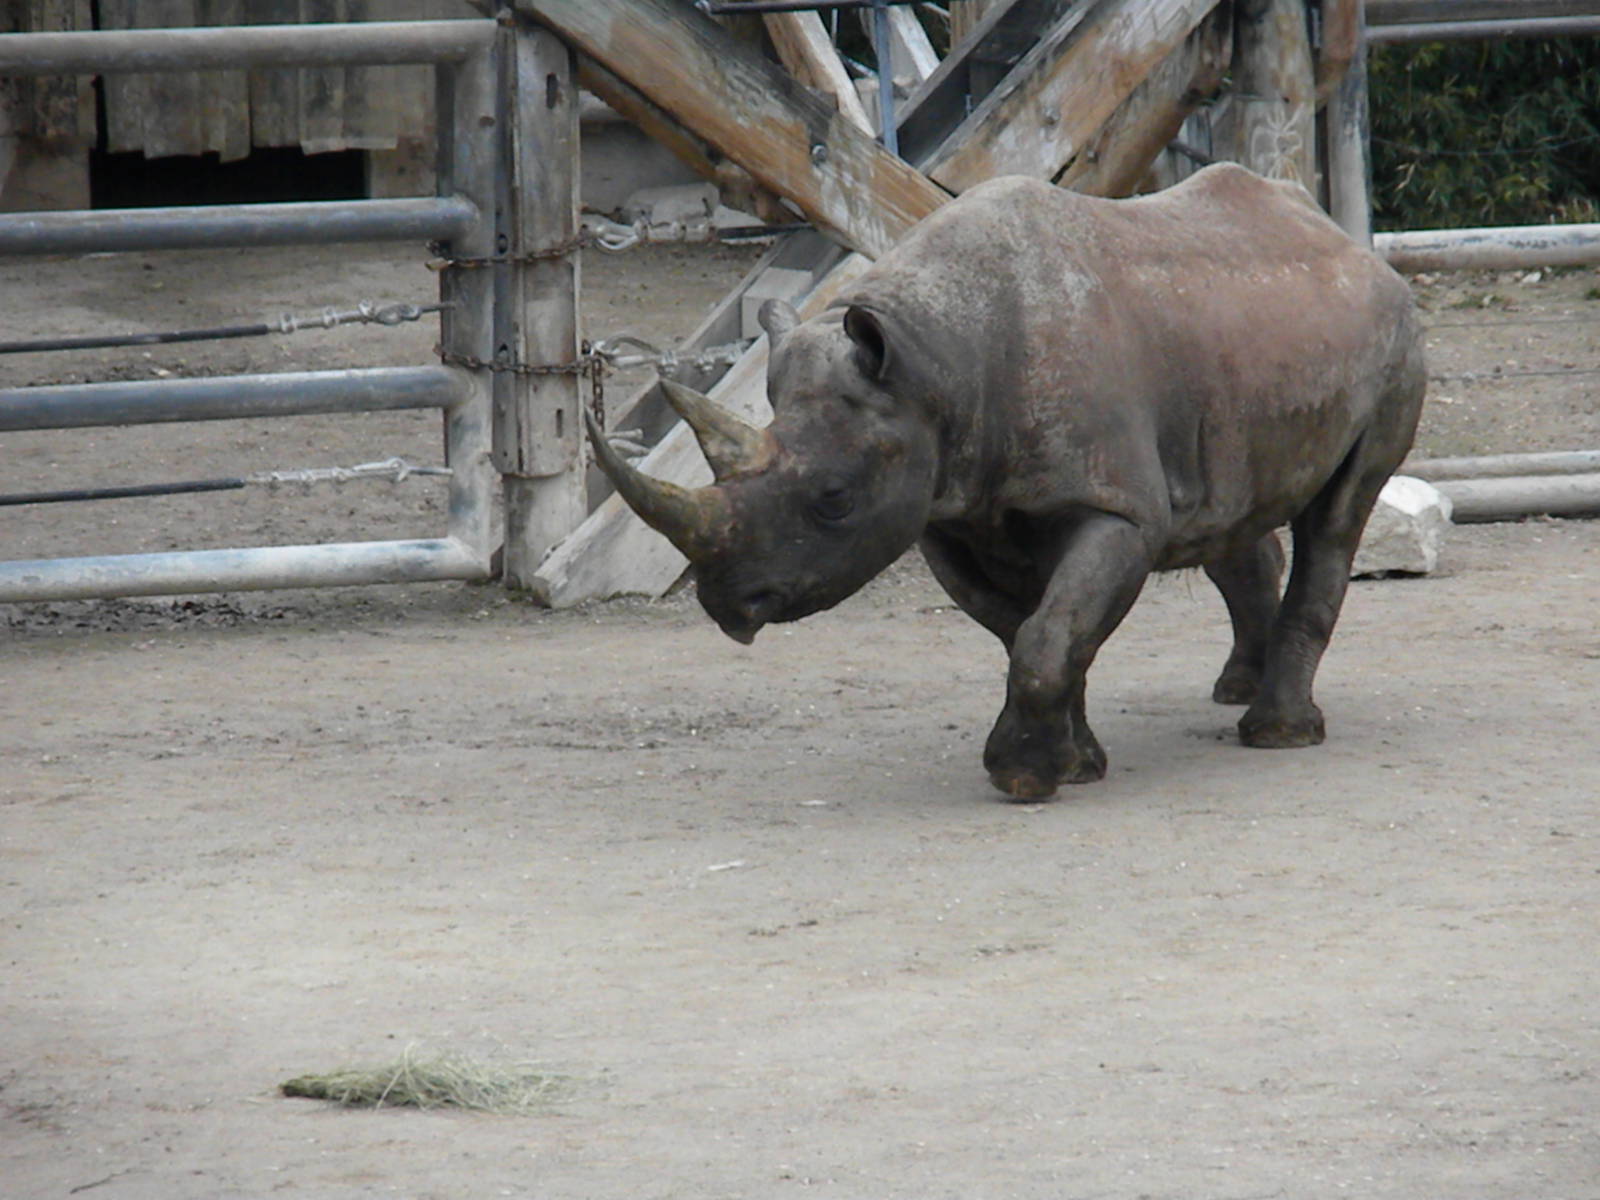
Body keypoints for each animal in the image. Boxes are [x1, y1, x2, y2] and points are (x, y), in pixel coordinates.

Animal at [587, 164, 1426, 799]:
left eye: (834, 501)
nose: (726, 606)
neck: (935, 360)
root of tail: (1341, 238)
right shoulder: (947, 511)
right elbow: (1031, 630)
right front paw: (1072, 765)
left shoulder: (1112, 509)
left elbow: (1050, 631)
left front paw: (1022, 777)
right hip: (1247, 342)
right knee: (1228, 515)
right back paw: (1236, 691)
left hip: (1396, 334)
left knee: (1338, 516)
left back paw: (1278, 734)